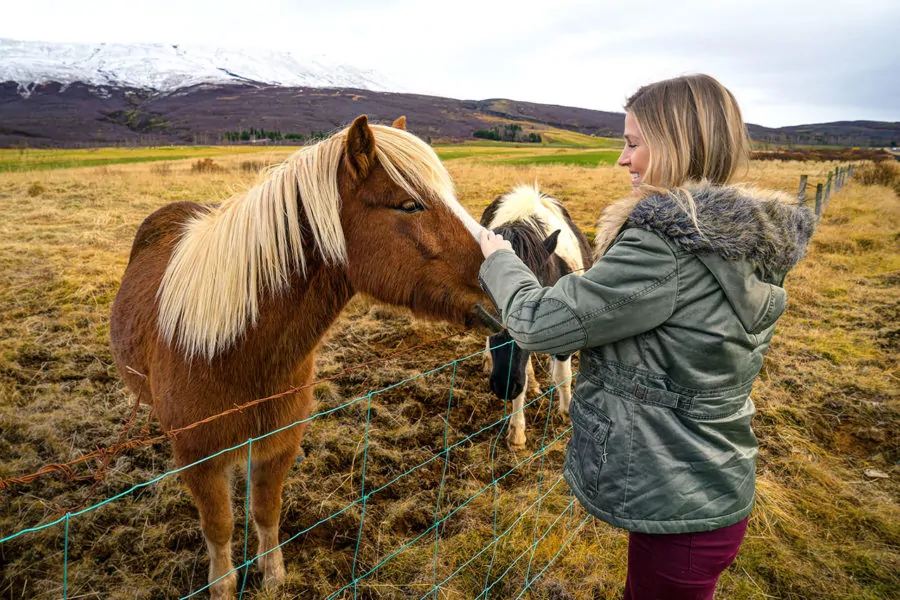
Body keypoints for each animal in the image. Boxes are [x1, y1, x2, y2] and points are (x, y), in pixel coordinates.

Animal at [110, 115, 496, 596]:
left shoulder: (280, 442)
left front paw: (273, 575)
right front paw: (222, 586)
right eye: (409, 205)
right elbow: (219, 526)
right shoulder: (202, 457)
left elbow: (266, 509)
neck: (236, 352)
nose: (507, 280)